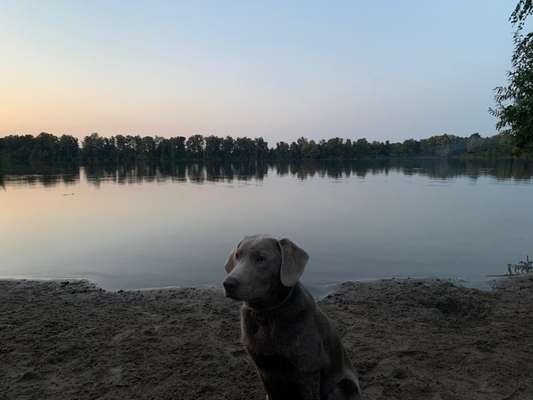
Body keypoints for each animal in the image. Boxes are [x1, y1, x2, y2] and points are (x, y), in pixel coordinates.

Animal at [220, 236, 362, 398]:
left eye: (261, 258)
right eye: (238, 256)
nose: (228, 283)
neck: (267, 315)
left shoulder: (308, 370)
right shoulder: (263, 369)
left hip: (339, 386)